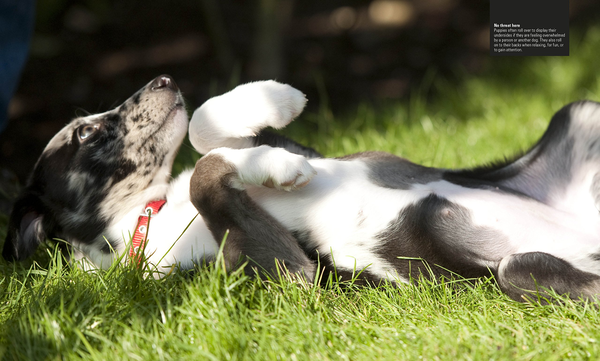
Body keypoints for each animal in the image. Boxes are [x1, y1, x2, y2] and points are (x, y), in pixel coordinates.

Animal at [3, 74, 600, 300]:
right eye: (85, 132)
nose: (164, 80)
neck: (151, 213)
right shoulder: (289, 277)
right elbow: (205, 173)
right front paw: (277, 169)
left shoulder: (302, 148)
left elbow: (205, 131)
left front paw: (276, 103)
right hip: (513, 270)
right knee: (522, 268)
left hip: (581, 113)